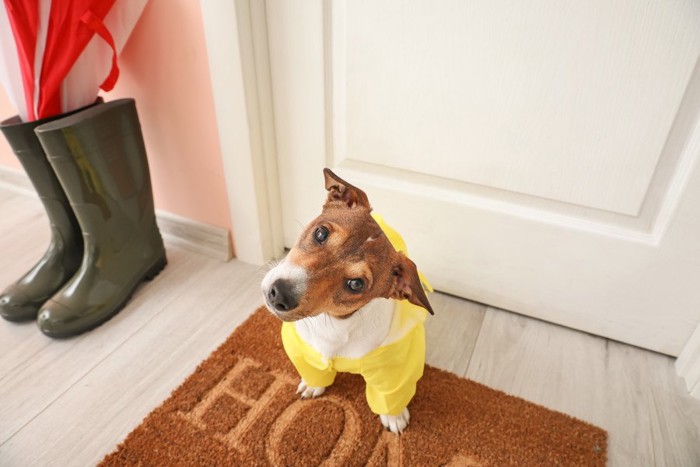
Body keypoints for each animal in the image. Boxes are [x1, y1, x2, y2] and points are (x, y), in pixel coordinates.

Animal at [262, 169, 432, 436]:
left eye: (356, 284)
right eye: (321, 233)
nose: (279, 294)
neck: (335, 325)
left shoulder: (392, 369)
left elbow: (390, 395)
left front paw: (393, 416)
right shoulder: (304, 350)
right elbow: (313, 371)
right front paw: (313, 385)